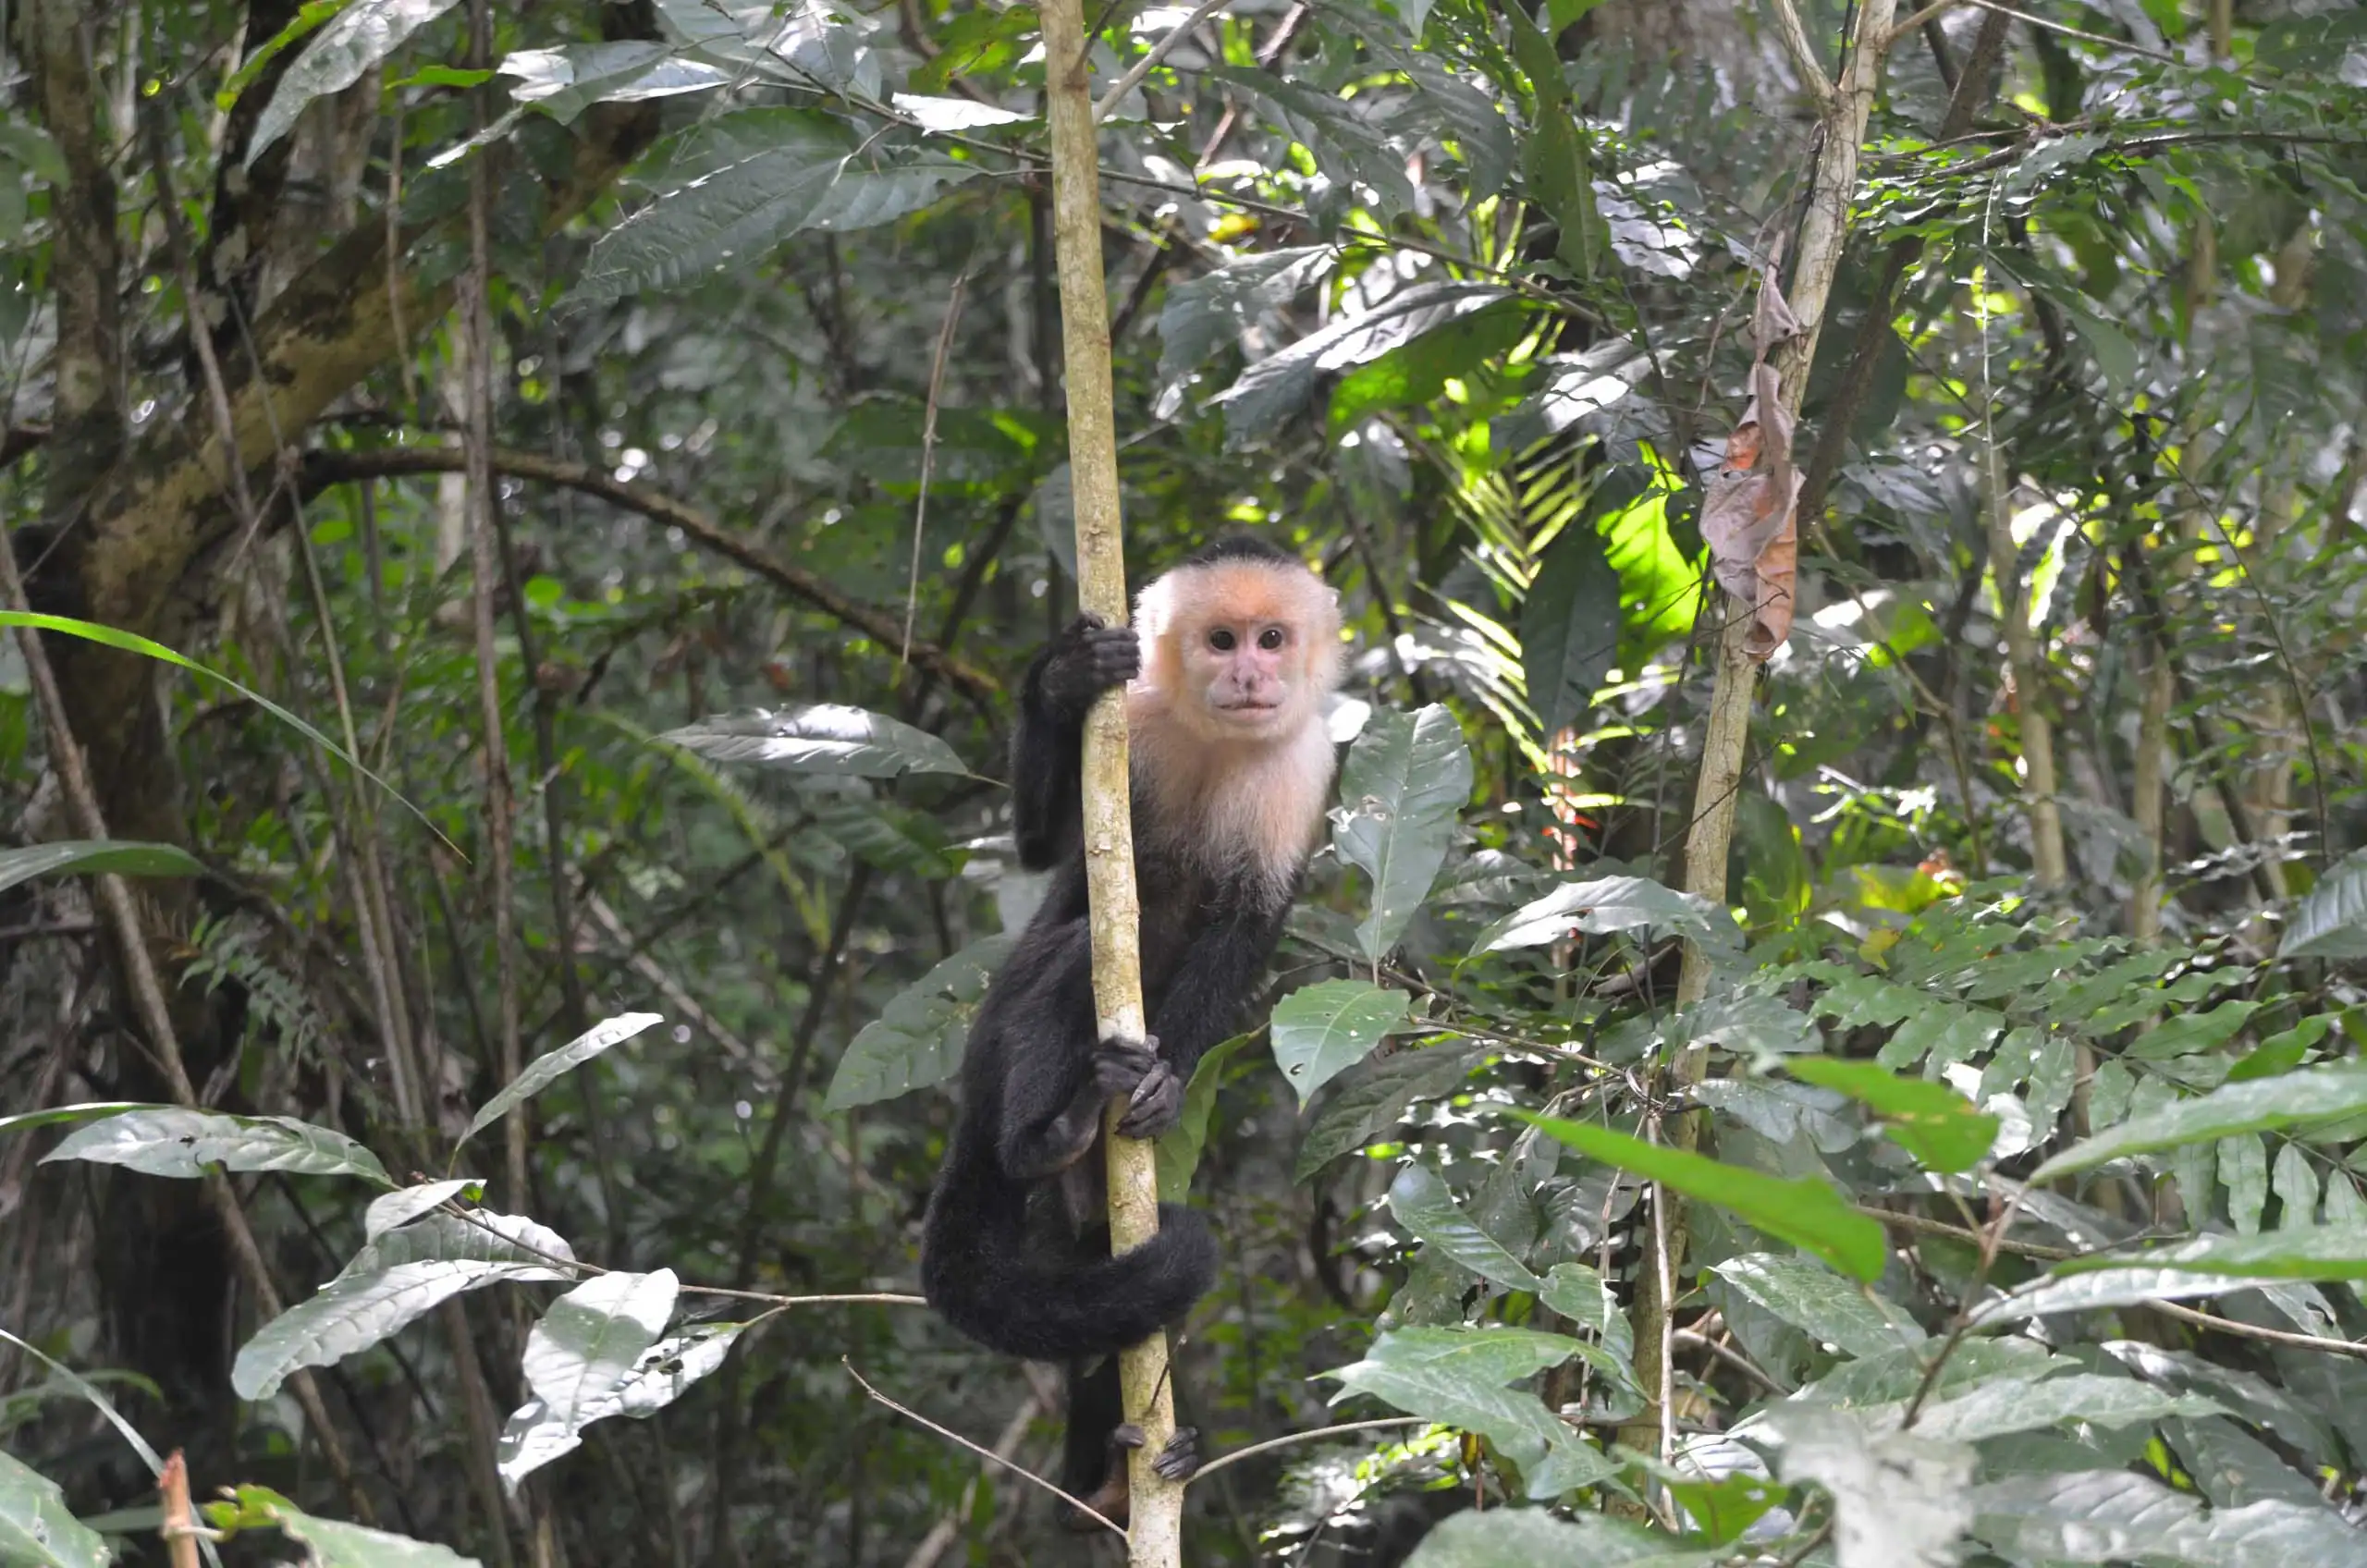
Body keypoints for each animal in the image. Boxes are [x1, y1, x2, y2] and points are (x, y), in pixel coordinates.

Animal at [919, 535, 1345, 1525]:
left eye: (1273, 638)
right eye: (1223, 640)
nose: (1251, 674)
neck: (1217, 738)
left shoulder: (1303, 767)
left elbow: (1248, 925)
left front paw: (1168, 1084)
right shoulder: (1137, 722)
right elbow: (1044, 852)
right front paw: (1062, 680)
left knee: (1109, 1282)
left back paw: (1112, 1484)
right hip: (994, 1040)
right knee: (1074, 950)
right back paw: (1045, 1134)